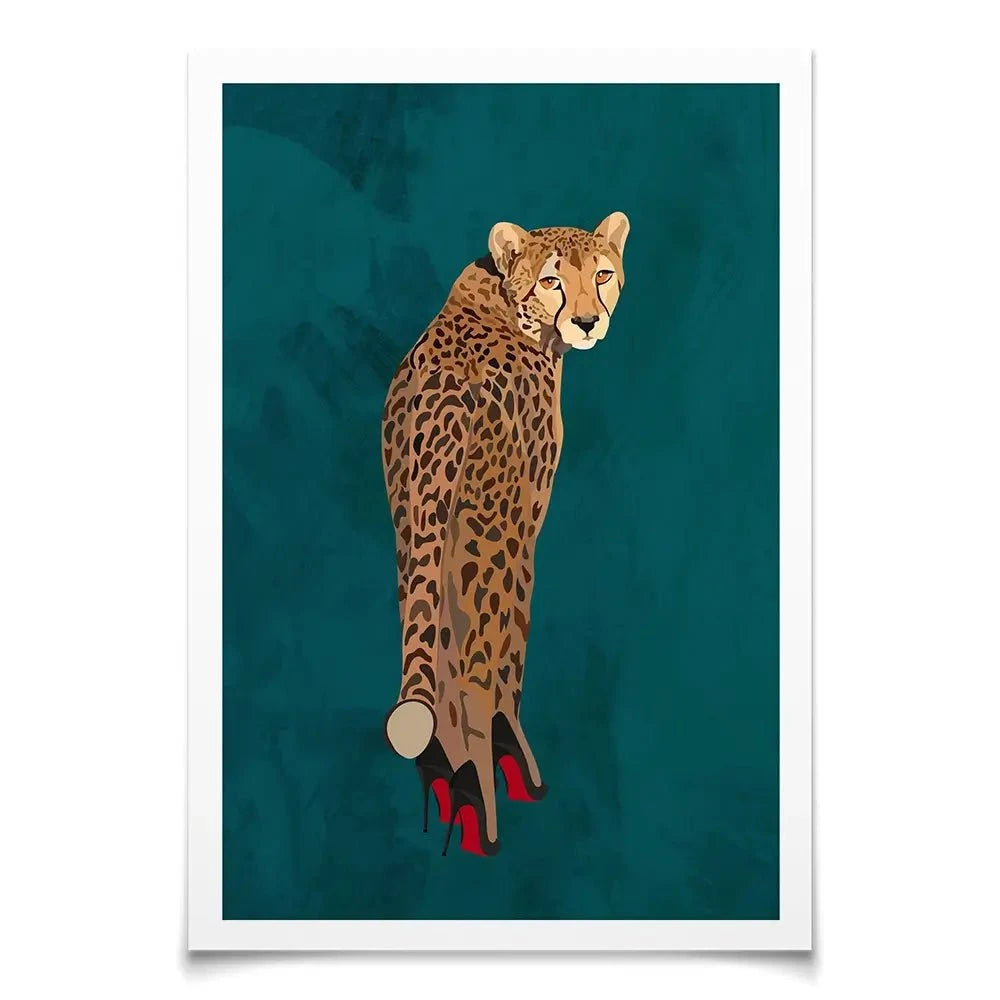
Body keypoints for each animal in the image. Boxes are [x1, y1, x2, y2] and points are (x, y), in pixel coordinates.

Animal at [381, 212, 630, 855]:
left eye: (601, 274)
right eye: (552, 281)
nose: (588, 321)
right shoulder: (524, 517)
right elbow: (513, 637)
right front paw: (506, 747)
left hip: (414, 526)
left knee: (435, 640)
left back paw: (447, 771)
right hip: (486, 535)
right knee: (474, 661)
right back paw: (483, 789)